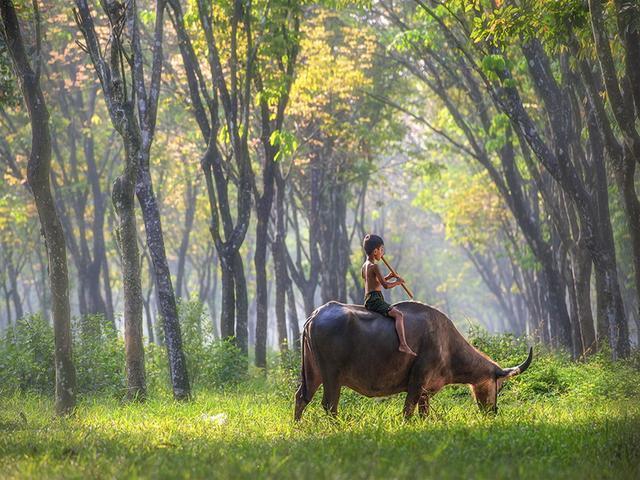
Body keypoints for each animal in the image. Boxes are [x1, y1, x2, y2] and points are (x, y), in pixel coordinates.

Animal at [294, 300, 528, 420]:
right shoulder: (417, 382)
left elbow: (423, 413)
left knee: (302, 397)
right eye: (499, 385)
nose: (493, 412)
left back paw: (298, 426)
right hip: (331, 376)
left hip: (313, 373)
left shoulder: (425, 391)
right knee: (329, 404)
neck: (446, 344)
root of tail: (315, 315)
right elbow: (408, 410)